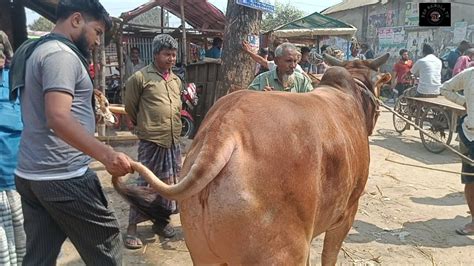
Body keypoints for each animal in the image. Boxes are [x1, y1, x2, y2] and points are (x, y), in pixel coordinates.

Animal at [113, 53, 390, 264]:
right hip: (284, 254)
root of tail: (225, 127)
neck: (350, 94)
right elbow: (329, 256)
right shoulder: (347, 213)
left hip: (203, 252)